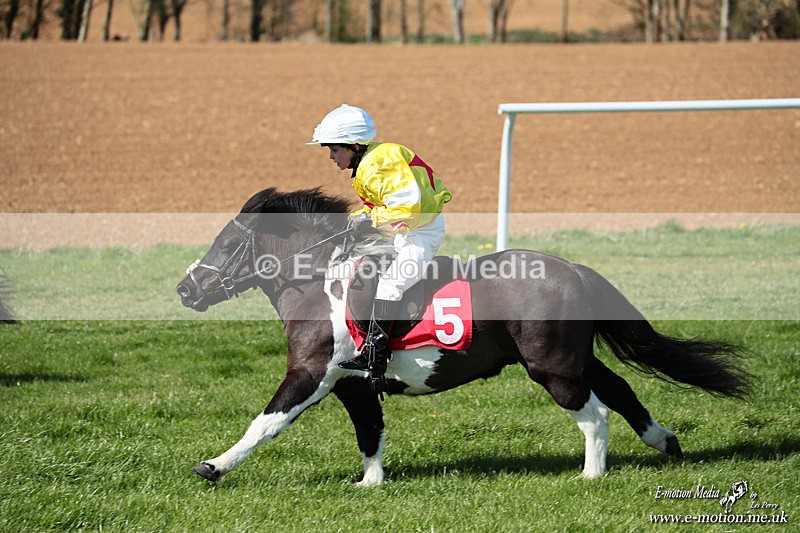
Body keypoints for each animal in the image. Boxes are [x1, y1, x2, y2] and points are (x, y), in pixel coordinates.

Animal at [176, 187, 751, 486]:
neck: (322, 282)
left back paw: (591, 475)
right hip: (574, 359)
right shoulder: (353, 383)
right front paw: (371, 484)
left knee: (595, 413)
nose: (186, 288)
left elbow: (264, 424)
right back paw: (665, 442)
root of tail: (572, 268)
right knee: (622, 391)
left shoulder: (312, 374)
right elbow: (370, 433)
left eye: (225, 242)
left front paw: (213, 465)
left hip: (552, 367)